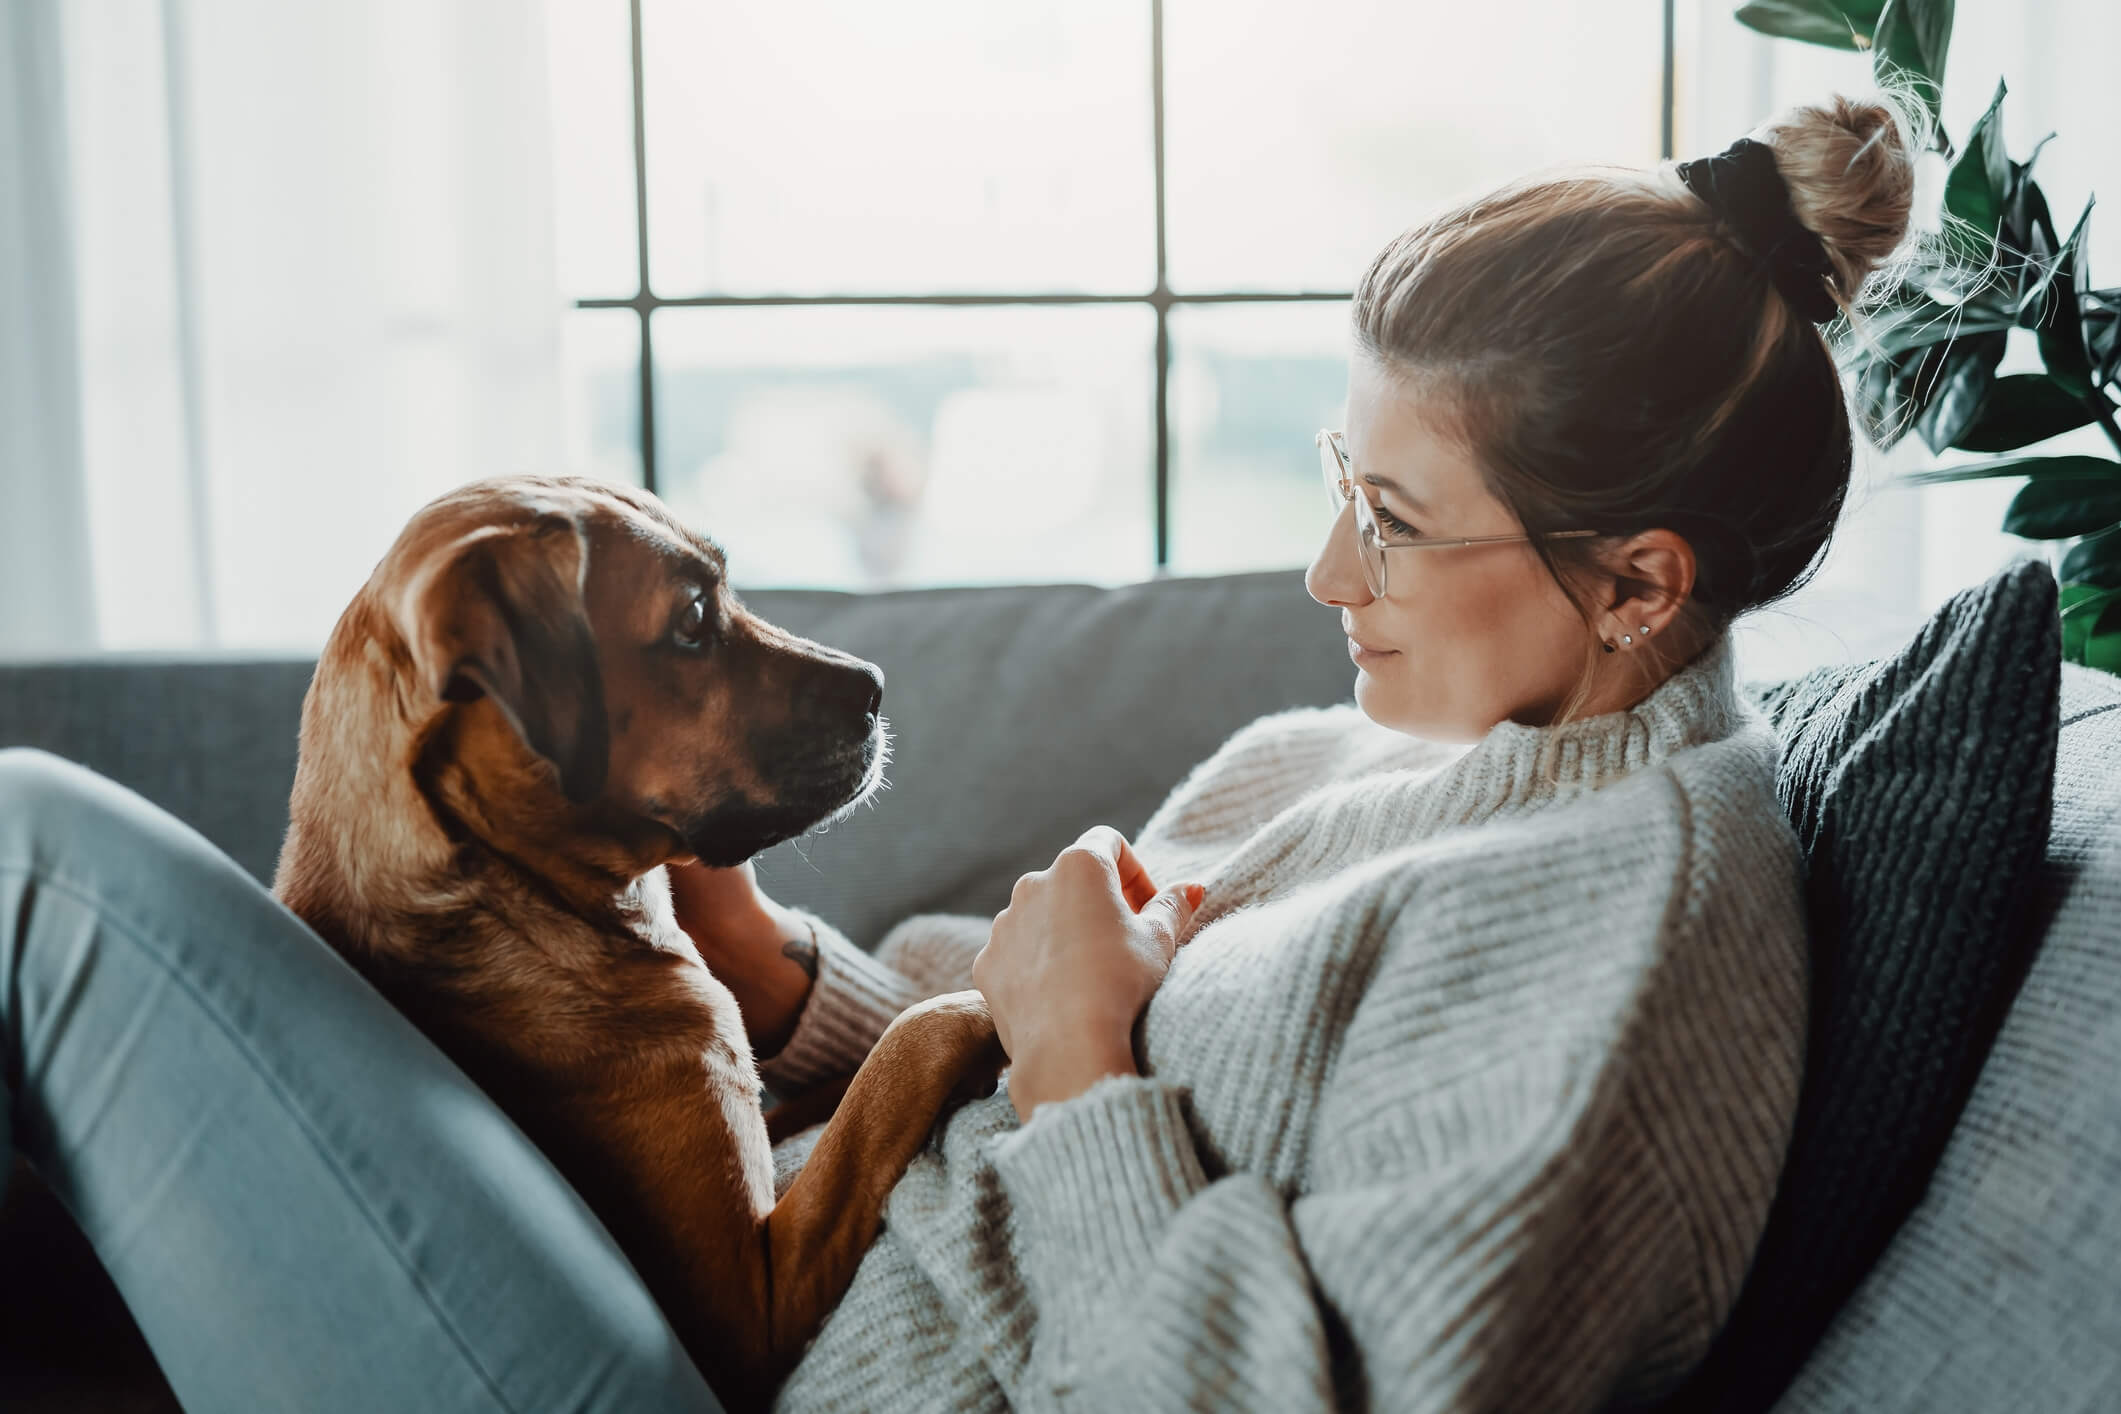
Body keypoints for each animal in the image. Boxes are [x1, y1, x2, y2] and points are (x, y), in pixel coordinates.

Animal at [273, 479, 1001, 1414]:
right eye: (691, 619)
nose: (876, 686)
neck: (515, 895)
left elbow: (842, 1085)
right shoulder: (751, 1304)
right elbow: (902, 1055)